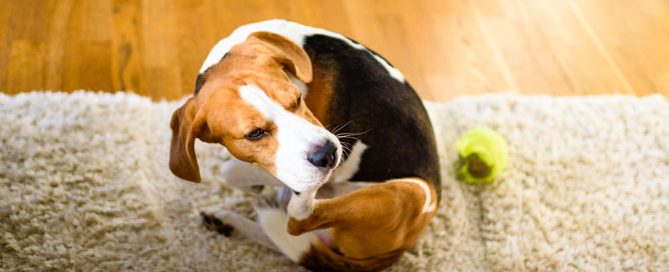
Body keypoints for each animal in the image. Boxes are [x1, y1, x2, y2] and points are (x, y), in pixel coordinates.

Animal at [168, 19, 438, 272]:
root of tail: (397, 251)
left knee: (297, 221)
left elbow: (231, 171)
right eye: (254, 134)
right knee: (285, 236)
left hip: (416, 191)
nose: (328, 155)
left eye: (297, 99)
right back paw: (227, 221)